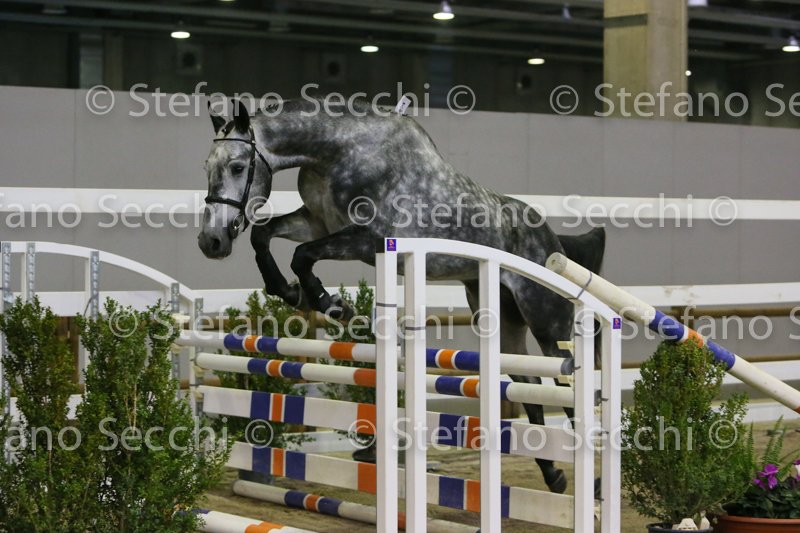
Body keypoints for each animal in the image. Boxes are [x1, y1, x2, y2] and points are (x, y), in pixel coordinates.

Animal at [198, 98, 606, 494]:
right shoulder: (317, 222)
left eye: (237, 166)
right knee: (531, 386)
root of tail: (552, 241)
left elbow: (302, 255)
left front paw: (332, 304)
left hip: (548, 322)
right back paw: (553, 475)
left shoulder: (368, 238)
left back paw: (594, 483)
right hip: (501, 321)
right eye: (208, 166)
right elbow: (263, 236)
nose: (211, 241)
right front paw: (291, 292)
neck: (337, 152)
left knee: (569, 388)